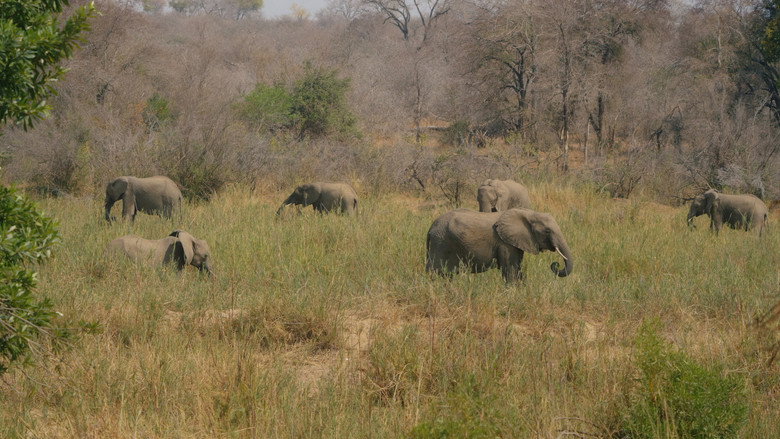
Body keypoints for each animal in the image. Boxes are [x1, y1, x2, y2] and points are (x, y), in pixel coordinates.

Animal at [426, 208, 573, 283]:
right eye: (547, 231)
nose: (555, 264)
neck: (528, 213)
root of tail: (431, 228)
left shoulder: (515, 242)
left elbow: (517, 268)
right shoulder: (504, 243)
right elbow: (510, 269)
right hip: (441, 243)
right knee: (439, 273)